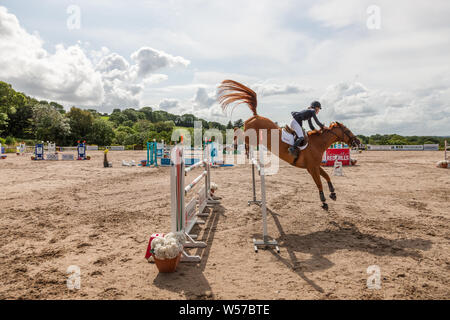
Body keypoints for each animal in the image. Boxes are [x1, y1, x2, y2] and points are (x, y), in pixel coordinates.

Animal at [216, 80, 360, 210]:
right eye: (348, 131)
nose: (358, 142)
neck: (318, 144)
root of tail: (256, 116)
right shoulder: (312, 168)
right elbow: (319, 183)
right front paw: (324, 201)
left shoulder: (315, 166)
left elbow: (327, 176)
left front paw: (333, 193)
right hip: (252, 137)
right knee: (238, 131)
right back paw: (232, 146)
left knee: (240, 133)